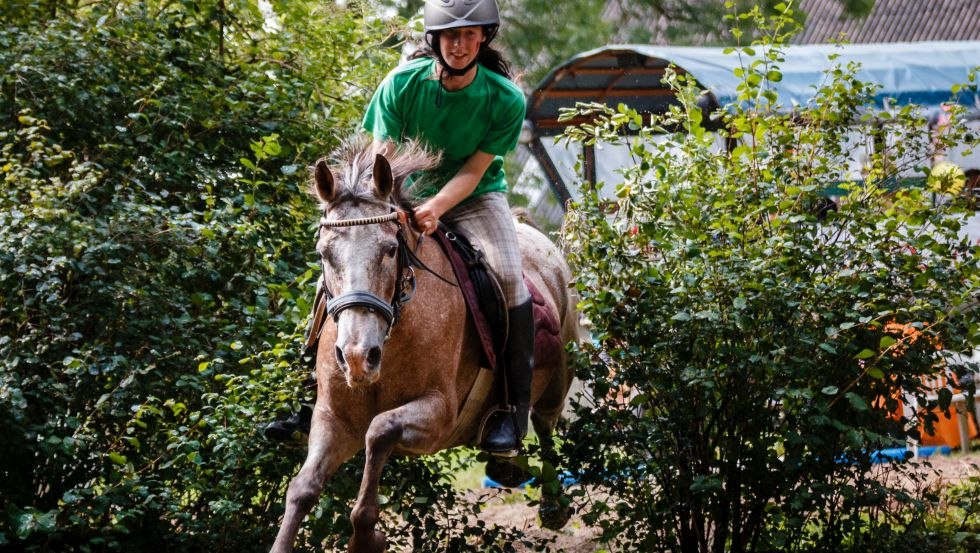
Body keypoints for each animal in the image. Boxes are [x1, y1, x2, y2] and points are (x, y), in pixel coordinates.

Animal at [268, 137, 580, 552]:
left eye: (389, 249)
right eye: (323, 253)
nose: (357, 358)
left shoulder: (440, 415)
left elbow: (379, 430)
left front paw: (366, 538)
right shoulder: (333, 418)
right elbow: (302, 488)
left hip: (557, 383)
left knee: (545, 427)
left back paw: (552, 504)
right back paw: (508, 468)